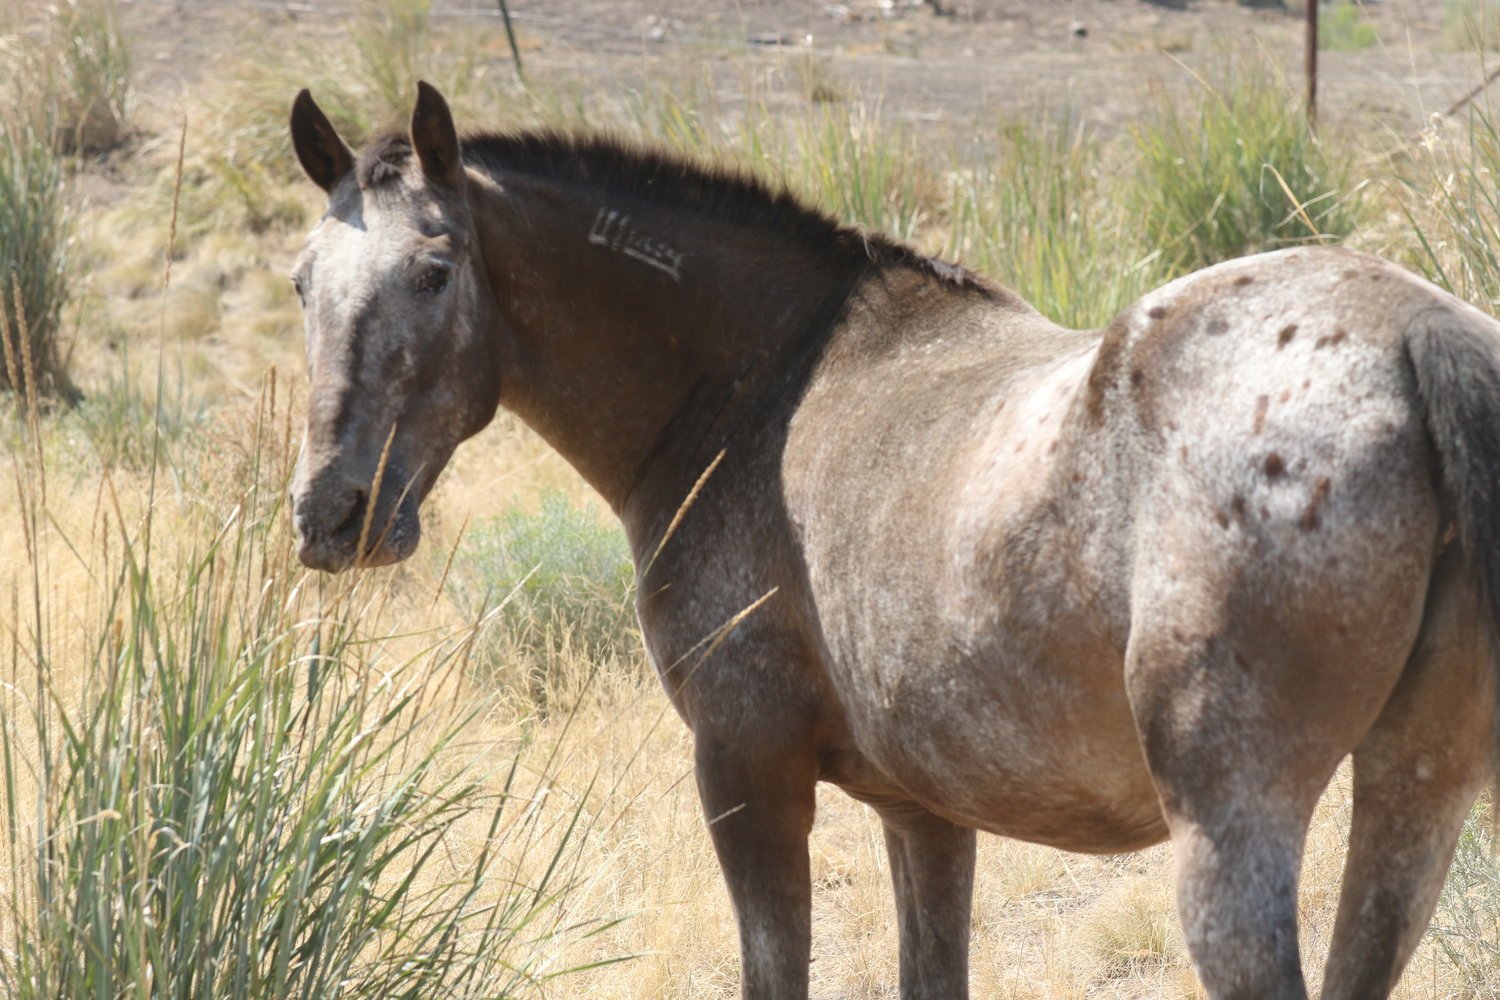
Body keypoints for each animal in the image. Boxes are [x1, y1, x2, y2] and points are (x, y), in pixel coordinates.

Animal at [286, 82, 1500, 995]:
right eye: (302, 282)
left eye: (434, 271)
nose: (329, 513)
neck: (758, 382)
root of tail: (1411, 329)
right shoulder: (925, 815)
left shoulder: (747, 771)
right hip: (1414, 796)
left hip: (1233, 831)